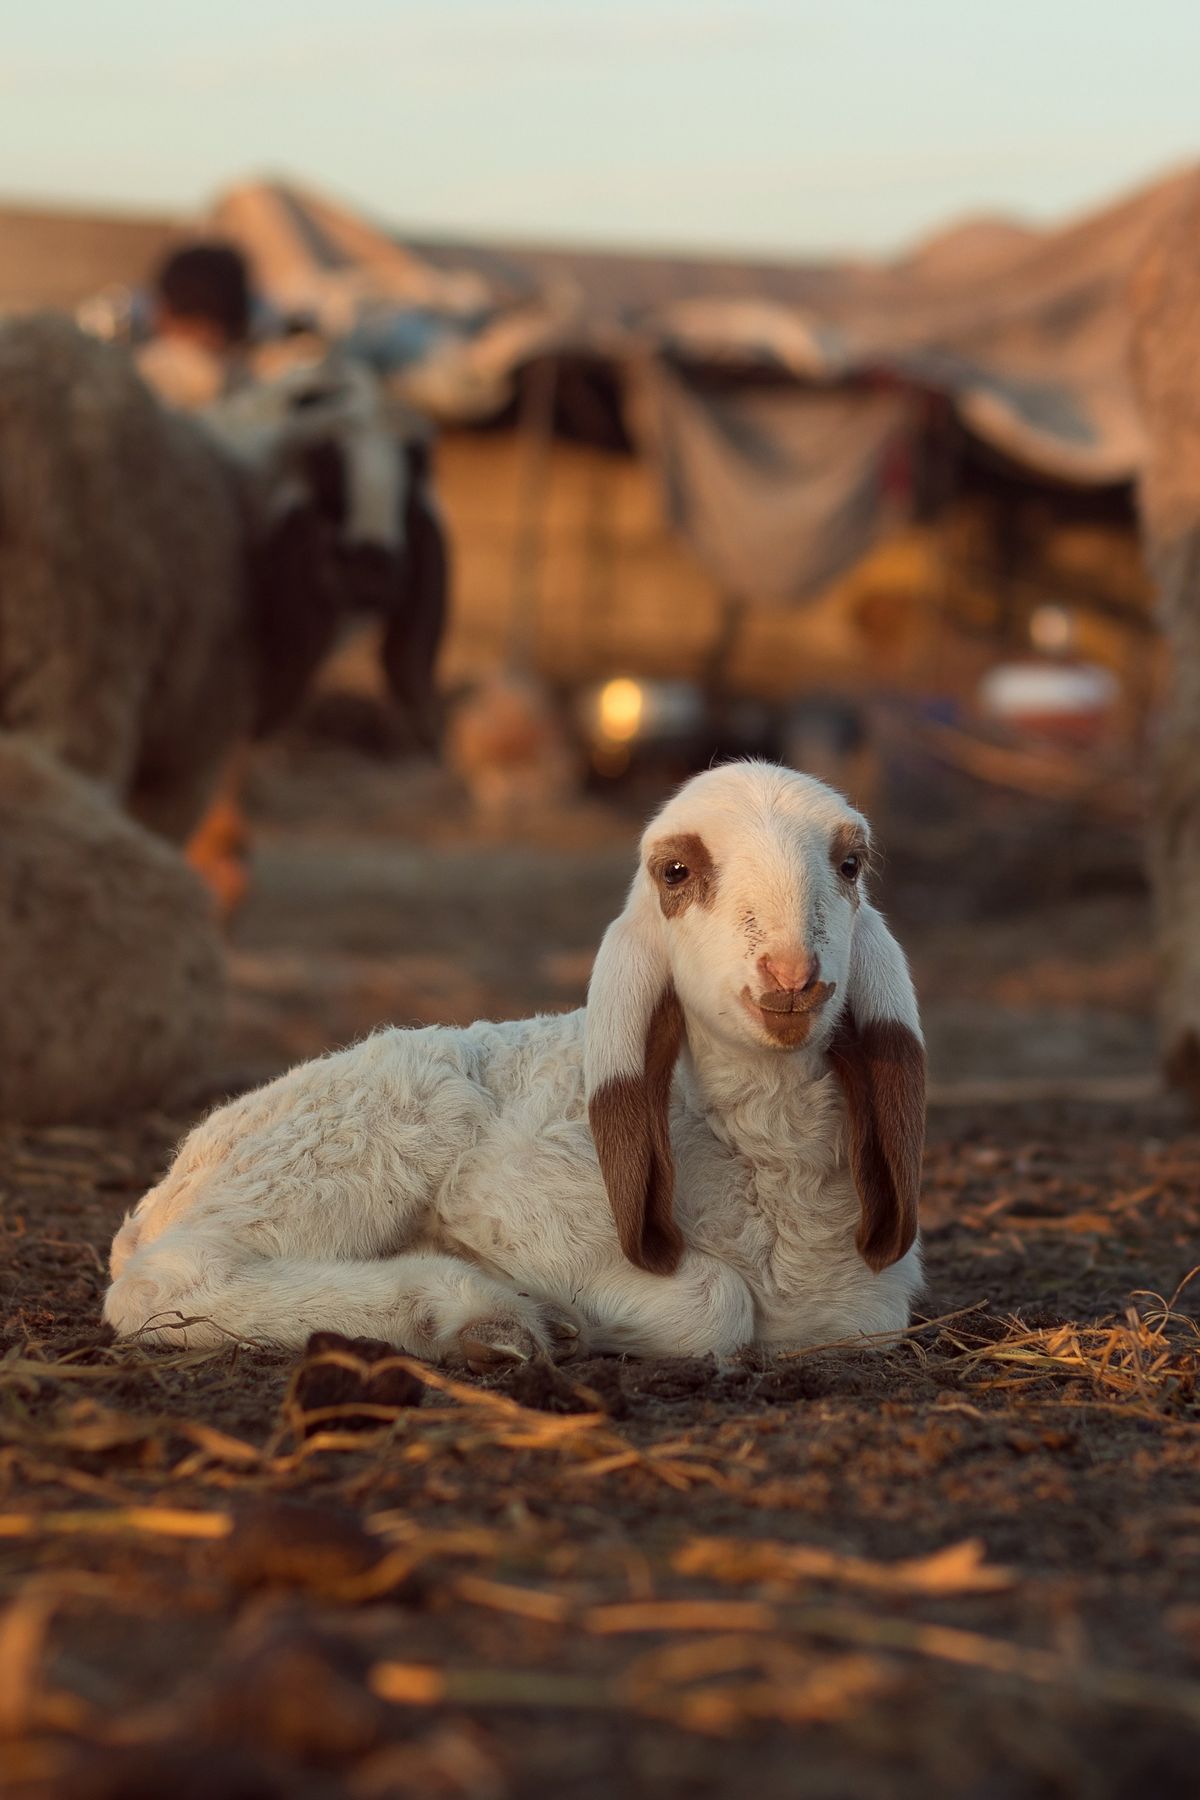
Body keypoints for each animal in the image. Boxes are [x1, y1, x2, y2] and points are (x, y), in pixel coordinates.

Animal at [105, 759, 928, 1360]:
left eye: (850, 864)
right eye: (675, 872)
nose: (791, 975)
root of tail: (157, 1197)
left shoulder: (869, 1300)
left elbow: (866, 1315)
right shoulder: (507, 1195)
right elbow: (714, 1305)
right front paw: (570, 1311)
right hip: (359, 1138)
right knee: (166, 1282)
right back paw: (472, 1316)